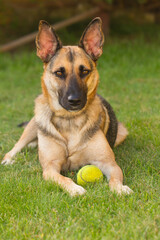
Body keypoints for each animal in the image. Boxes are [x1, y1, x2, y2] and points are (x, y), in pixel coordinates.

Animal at [1, 17, 132, 196]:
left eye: (84, 71)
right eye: (59, 72)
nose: (74, 100)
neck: (69, 120)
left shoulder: (109, 163)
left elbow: (115, 178)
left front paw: (119, 188)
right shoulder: (50, 168)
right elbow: (64, 179)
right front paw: (75, 189)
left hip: (122, 133)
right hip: (33, 126)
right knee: (16, 146)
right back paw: (8, 159)